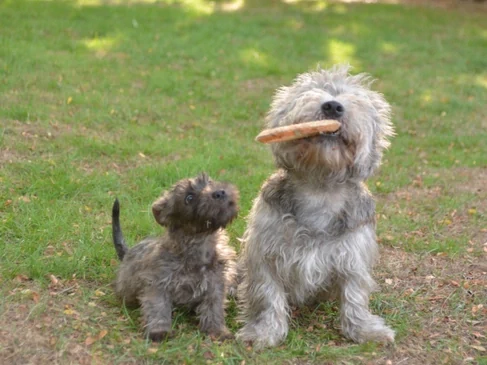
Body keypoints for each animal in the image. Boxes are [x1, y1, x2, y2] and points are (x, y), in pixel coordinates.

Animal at [112, 172, 238, 340]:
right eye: (189, 198)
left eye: (210, 182)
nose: (220, 192)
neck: (202, 242)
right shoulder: (158, 284)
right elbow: (158, 307)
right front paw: (159, 331)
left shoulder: (216, 285)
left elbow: (214, 308)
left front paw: (217, 330)